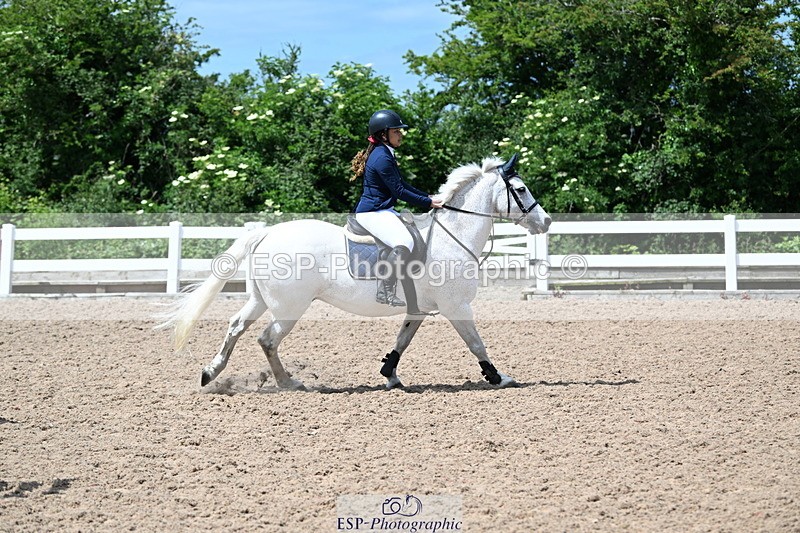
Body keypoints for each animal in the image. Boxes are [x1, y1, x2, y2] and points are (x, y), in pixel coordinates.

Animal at [158, 153, 551, 390]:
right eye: (520, 189)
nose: (546, 222)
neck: (450, 237)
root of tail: (268, 232)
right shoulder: (456, 306)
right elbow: (476, 342)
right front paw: (499, 377)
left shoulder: (419, 309)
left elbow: (402, 341)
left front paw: (390, 376)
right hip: (289, 308)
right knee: (267, 339)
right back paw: (289, 383)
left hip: (261, 300)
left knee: (237, 326)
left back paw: (211, 373)